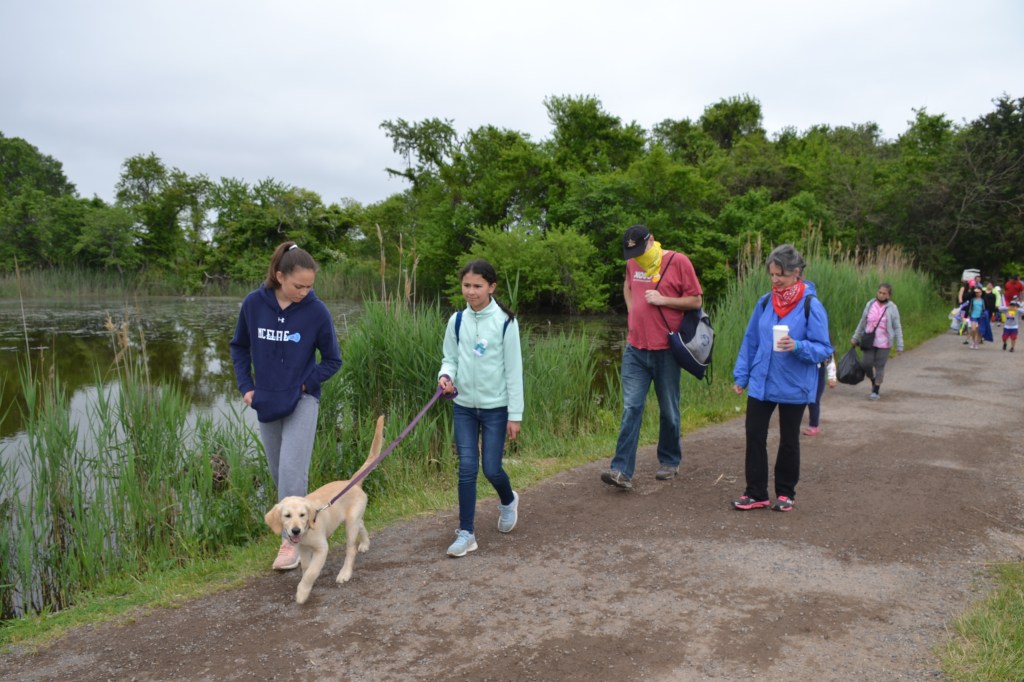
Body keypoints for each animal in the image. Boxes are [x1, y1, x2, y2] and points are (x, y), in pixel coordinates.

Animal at [264, 415, 384, 604]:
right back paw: (365, 543)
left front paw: (302, 592)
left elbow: (311, 571)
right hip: (354, 518)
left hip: (350, 525)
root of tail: (351, 483)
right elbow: (307, 568)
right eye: (287, 516)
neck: (307, 532)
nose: (295, 531)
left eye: (303, 515)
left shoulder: (322, 548)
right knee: (362, 524)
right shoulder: (303, 549)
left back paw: (345, 573)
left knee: (350, 549)